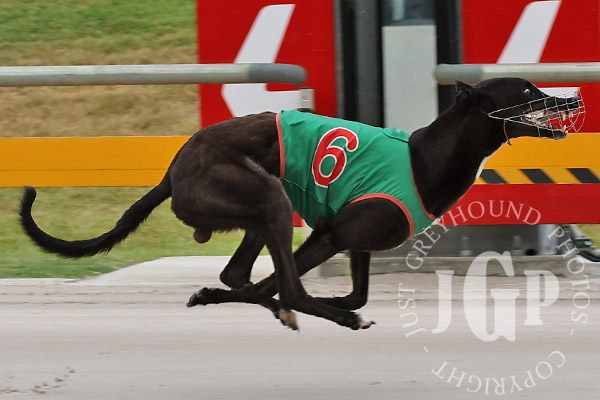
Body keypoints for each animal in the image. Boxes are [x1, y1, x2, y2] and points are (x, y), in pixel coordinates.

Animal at [20, 78, 585, 330]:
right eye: (526, 90)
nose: (573, 97)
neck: (425, 157)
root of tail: (174, 168)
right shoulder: (329, 235)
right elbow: (290, 286)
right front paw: (328, 309)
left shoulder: (355, 242)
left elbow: (352, 292)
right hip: (267, 196)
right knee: (282, 285)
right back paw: (312, 315)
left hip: (259, 209)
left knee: (241, 275)